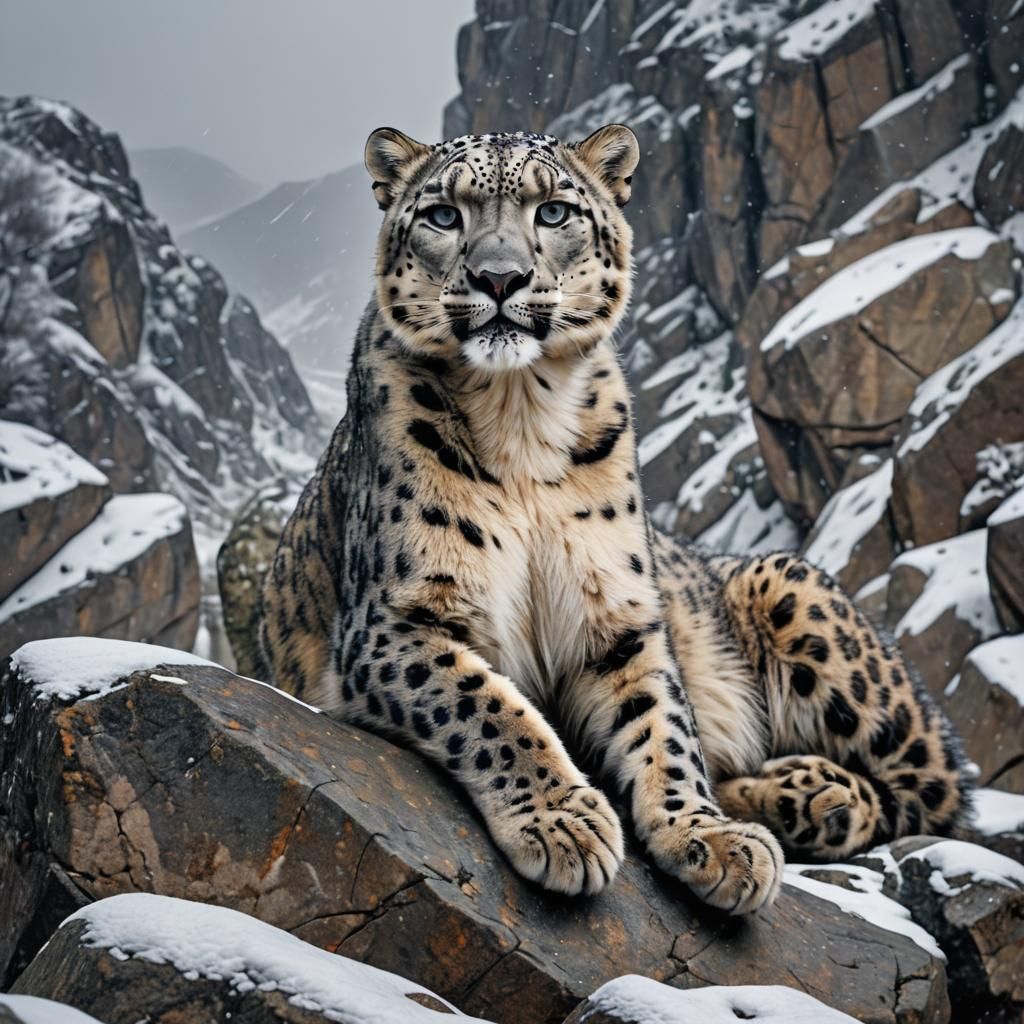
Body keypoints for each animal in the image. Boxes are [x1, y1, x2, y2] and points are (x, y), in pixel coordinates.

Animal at [257, 124, 972, 915]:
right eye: (444, 214)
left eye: (554, 211)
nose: (500, 278)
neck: (520, 418)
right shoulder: (395, 617)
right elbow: (485, 704)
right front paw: (563, 821)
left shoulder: (619, 616)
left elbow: (663, 725)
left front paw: (707, 836)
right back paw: (798, 797)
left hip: (794, 593)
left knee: (934, 792)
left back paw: (818, 795)